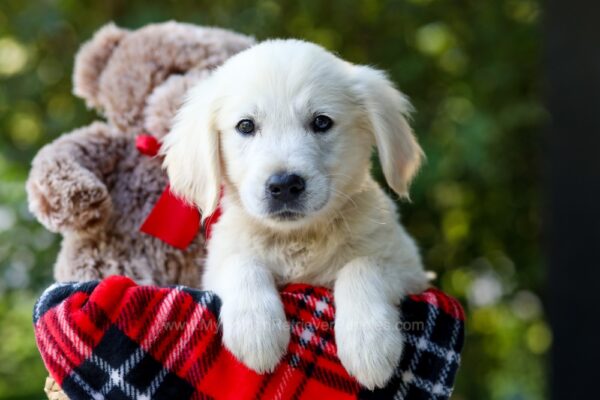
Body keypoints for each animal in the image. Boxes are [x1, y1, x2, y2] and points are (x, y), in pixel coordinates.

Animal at [162, 39, 428, 390]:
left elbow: (362, 266)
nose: (284, 185)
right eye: (246, 126)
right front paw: (257, 330)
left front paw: (368, 342)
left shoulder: (411, 270)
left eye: (321, 122)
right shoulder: (216, 265)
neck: (298, 237)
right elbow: (242, 262)